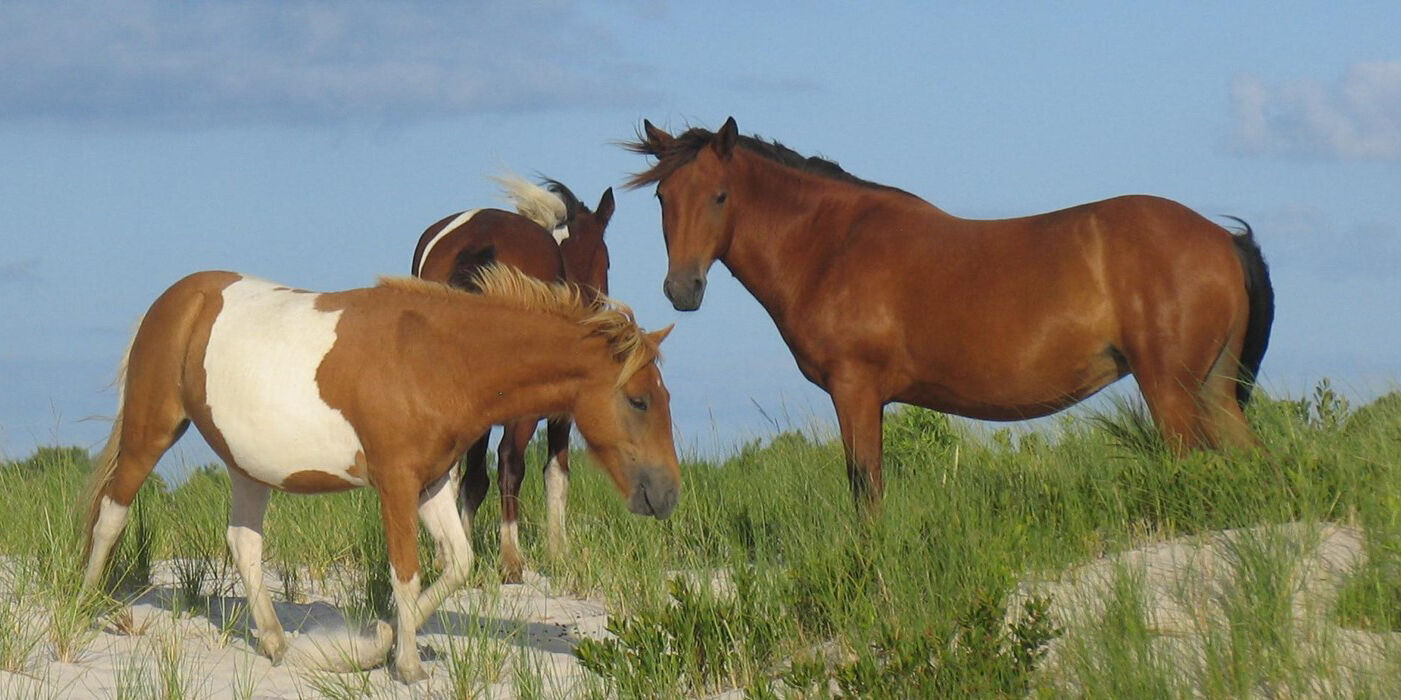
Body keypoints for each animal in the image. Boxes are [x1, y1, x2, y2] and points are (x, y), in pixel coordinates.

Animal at [76, 264, 678, 680]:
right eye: (639, 399)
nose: (666, 495)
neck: (438, 359)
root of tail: (177, 299)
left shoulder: (431, 483)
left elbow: (457, 564)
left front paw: (379, 642)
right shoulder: (396, 483)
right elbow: (406, 571)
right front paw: (406, 665)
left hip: (249, 466)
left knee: (243, 544)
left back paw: (275, 642)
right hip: (150, 432)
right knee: (111, 515)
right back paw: (82, 608)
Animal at [411, 173, 616, 579]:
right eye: (607, 261)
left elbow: (472, 480)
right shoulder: (560, 415)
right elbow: (556, 474)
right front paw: (558, 552)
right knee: (510, 462)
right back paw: (511, 558)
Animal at [630, 116, 1277, 509]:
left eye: (720, 196)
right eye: (663, 197)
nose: (682, 288)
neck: (831, 244)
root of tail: (1222, 240)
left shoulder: (855, 391)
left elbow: (866, 490)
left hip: (1172, 391)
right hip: (1214, 390)